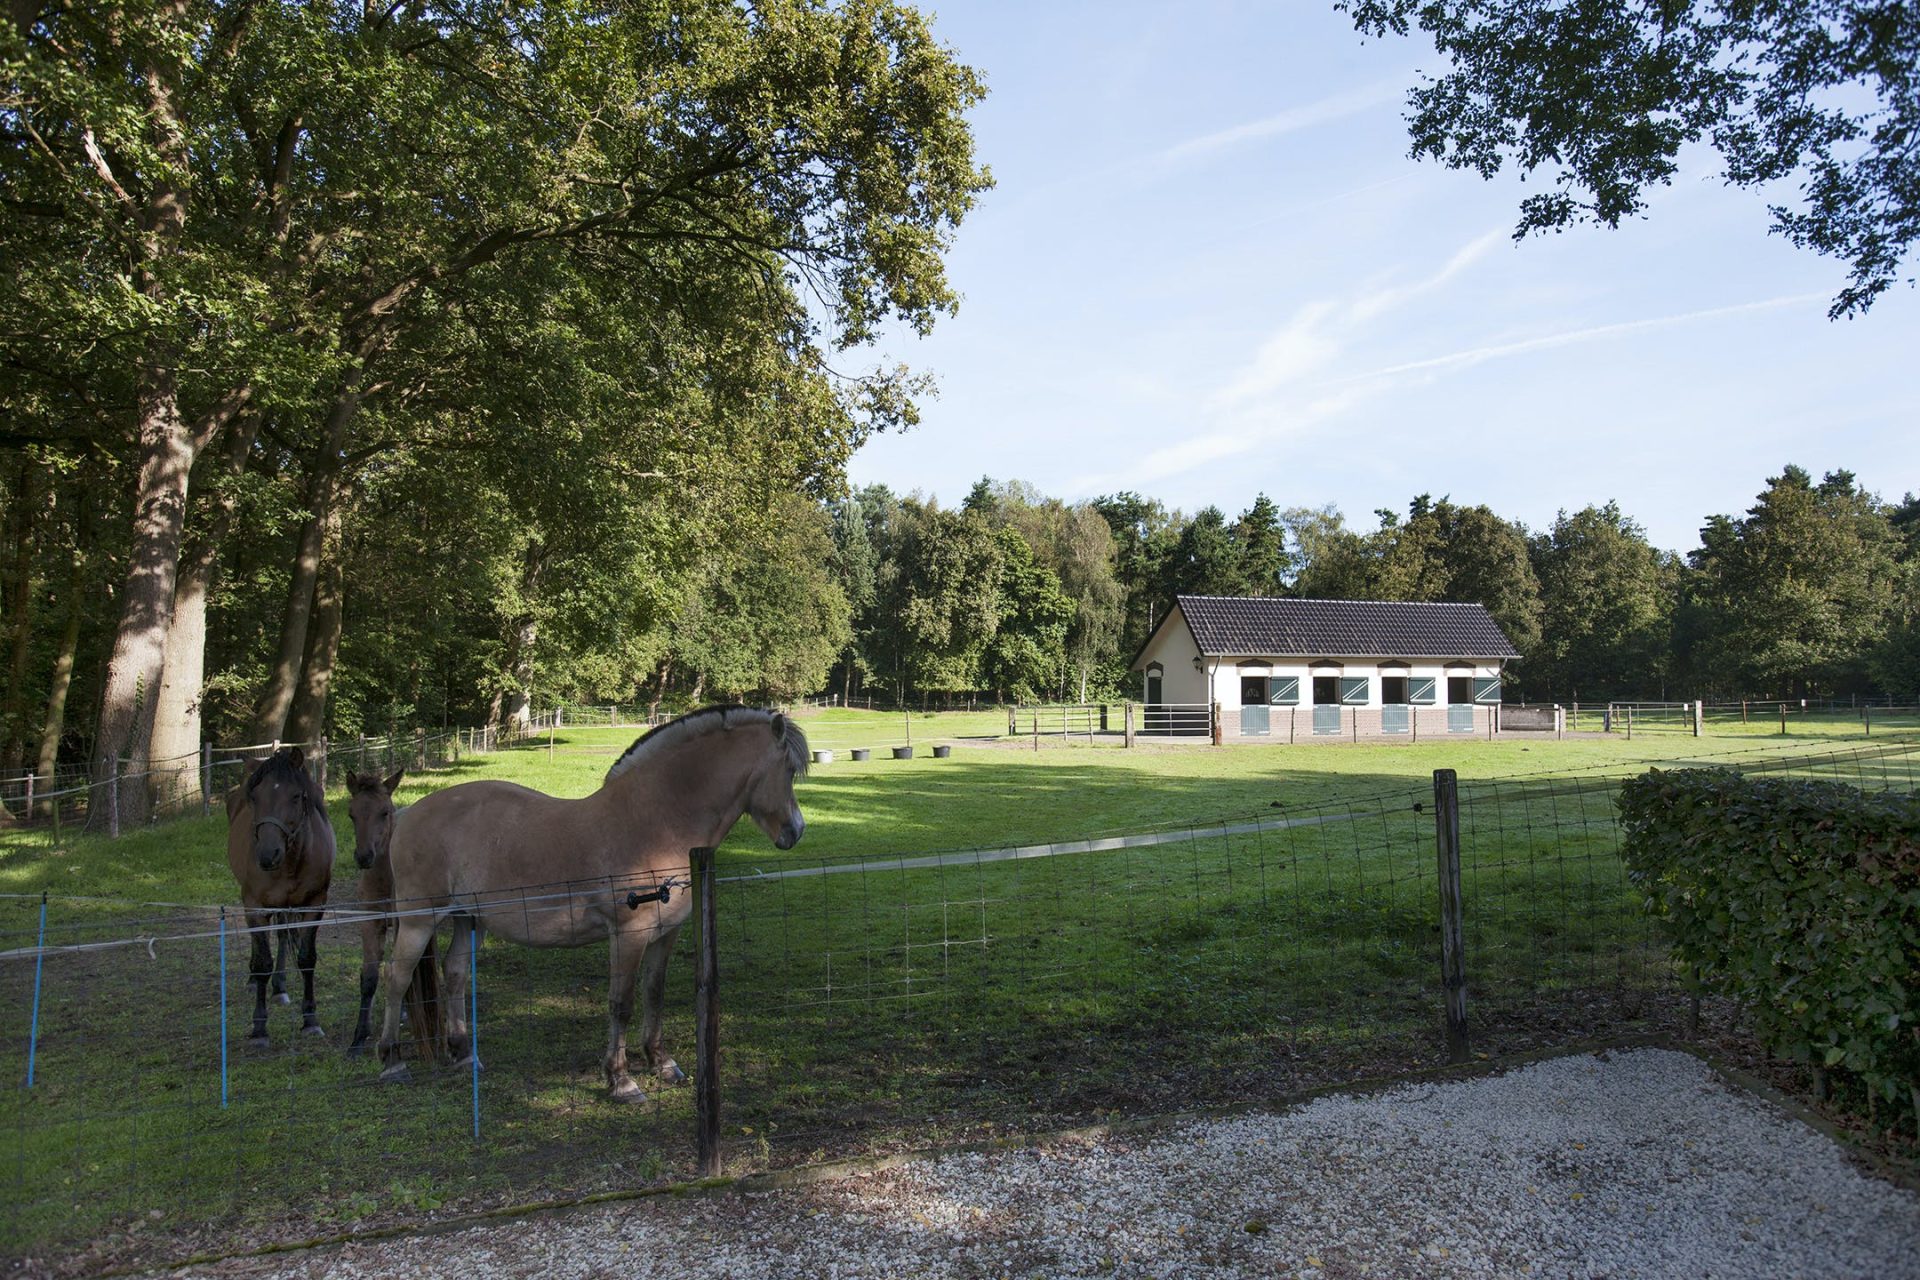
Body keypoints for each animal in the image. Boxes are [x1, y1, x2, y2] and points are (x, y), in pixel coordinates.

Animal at [225, 747, 335, 1045]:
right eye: (254, 798)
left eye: (296, 796)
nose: (267, 854)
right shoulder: (254, 906)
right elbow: (263, 961)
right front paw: (259, 1028)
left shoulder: (315, 904)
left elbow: (307, 958)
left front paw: (310, 1020)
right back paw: (256, 982)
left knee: (284, 934)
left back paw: (280, 987)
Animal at [343, 769, 442, 1060]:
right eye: (351, 813)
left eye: (384, 812)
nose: (364, 856)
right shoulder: (370, 922)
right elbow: (369, 977)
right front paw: (357, 1040)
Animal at [375, 705, 807, 1101]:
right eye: (789, 769)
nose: (796, 831)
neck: (657, 823)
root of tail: (406, 812)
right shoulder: (629, 935)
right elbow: (621, 1003)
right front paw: (621, 1080)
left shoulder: (666, 933)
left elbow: (654, 993)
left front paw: (661, 1062)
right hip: (419, 919)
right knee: (397, 977)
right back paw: (391, 1060)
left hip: (468, 918)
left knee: (455, 973)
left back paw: (464, 1053)